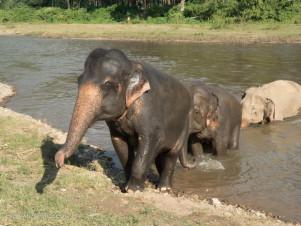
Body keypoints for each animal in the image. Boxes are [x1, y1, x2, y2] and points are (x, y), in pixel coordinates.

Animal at [54, 48, 192, 192]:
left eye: (108, 84)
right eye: (78, 80)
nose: (59, 162)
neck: (131, 65)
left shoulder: (149, 110)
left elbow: (151, 140)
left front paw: (133, 189)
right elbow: (120, 144)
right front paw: (124, 186)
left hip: (183, 127)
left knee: (171, 155)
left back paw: (164, 188)